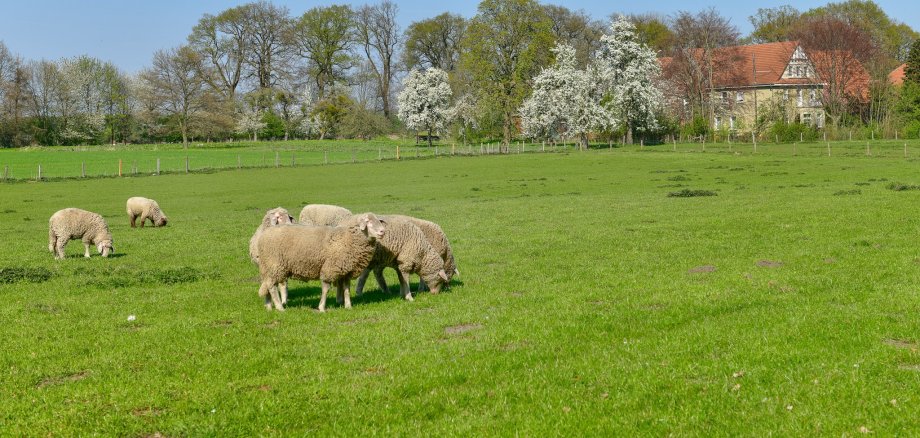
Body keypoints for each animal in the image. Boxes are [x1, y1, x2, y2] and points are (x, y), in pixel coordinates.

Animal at [253, 213, 386, 312]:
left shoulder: (346, 270)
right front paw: (321, 307)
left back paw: (269, 306)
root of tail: (264, 235)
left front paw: (348, 306)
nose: (382, 231)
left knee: (267, 285)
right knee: (271, 286)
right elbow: (326, 289)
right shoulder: (329, 268)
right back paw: (279, 307)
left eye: (378, 221)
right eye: (368, 221)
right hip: (274, 265)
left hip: (267, 267)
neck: (348, 238)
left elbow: (346, 289)